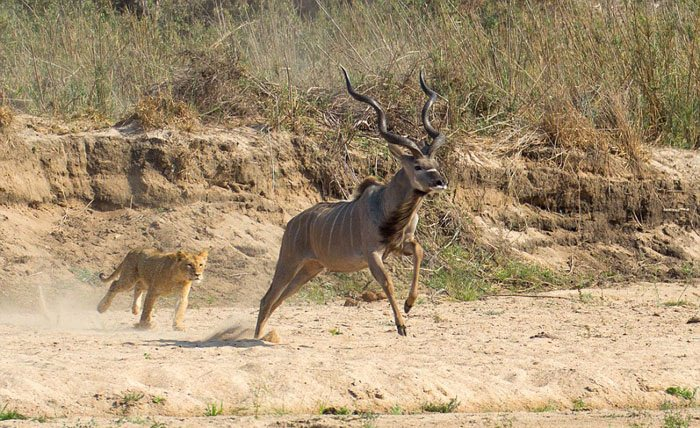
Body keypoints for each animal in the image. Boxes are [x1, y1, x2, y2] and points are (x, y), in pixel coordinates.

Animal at [256, 67, 448, 338]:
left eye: (436, 163)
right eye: (418, 166)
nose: (441, 181)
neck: (387, 207)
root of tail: (292, 223)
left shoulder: (400, 245)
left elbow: (419, 252)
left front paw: (409, 305)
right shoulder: (372, 254)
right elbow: (388, 282)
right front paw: (401, 324)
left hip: (311, 269)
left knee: (279, 299)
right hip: (289, 261)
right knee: (268, 298)